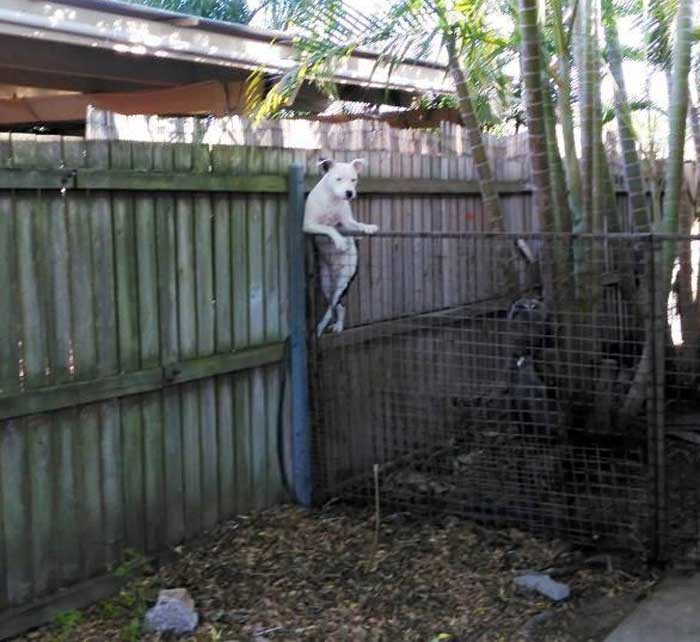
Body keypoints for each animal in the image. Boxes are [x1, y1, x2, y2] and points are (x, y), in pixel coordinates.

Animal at [300, 159, 378, 336]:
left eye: (354, 180)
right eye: (338, 179)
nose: (349, 193)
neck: (332, 199)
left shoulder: (346, 223)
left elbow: (355, 225)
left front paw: (368, 227)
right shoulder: (308, 225)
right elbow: (329, 228)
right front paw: (339, 240)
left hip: (343, 280)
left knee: (337, 306)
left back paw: (334, 326)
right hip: (326, 284)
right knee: (334, 305)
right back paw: (324, 326)